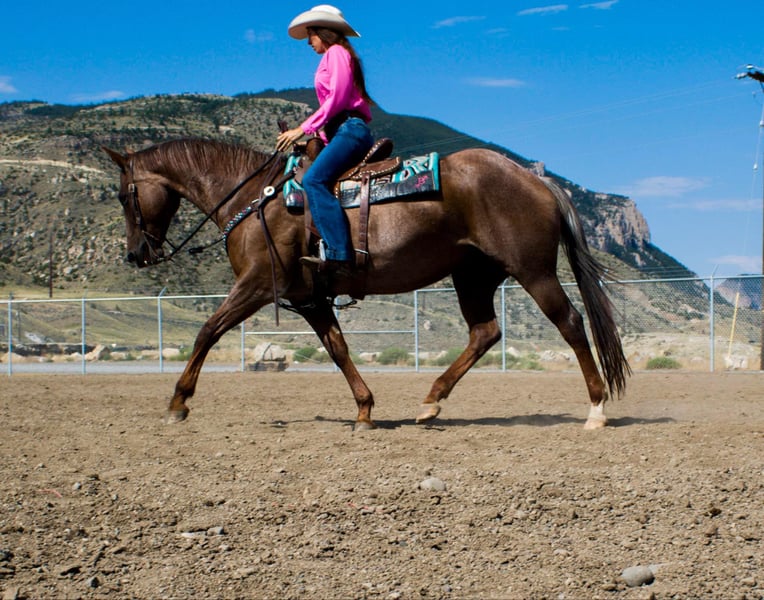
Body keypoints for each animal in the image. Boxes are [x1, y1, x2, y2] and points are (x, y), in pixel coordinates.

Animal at [103, 138, 630, 430]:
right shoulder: (309, 299)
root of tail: (537, 180)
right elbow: (338, 350)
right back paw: (430, 403)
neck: (257, 199)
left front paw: (178, 403)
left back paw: (596, 409)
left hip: (533, 271)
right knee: (485, 333)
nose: (136, 254)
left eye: (125, 195)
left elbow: (207, 331)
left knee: (570, 322)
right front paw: (364, 410)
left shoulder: (257, 286)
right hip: (472, 275)